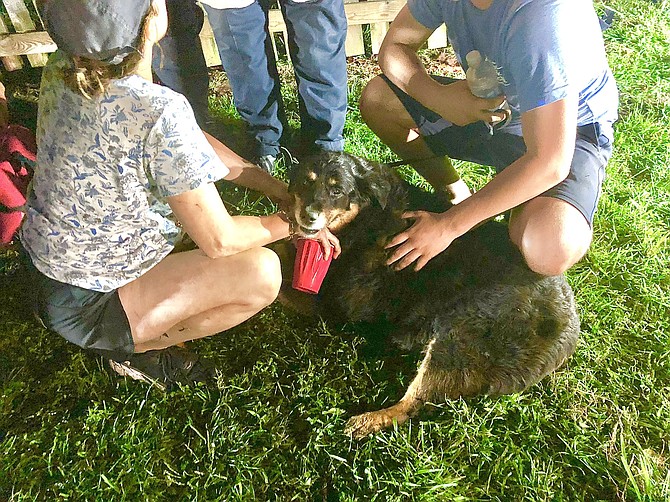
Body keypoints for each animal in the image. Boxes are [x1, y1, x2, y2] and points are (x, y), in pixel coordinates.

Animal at [276, 151, 580, 438]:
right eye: (306, 181)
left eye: (337, 190)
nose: (308, 215)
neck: (368, 216)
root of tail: (570, 330)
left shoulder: (327, 303)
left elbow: (278, 270)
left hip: (458, 338)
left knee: (411, 406)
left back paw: (365, 421)